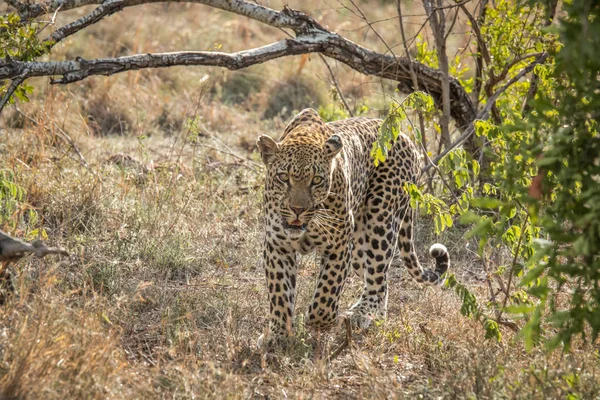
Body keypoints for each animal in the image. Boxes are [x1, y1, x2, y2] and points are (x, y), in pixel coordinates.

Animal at [255, 108, 448, 340]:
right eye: (284, 177)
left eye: (316, 180)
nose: (297, 209)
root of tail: (404, 136)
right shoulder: (277, 245)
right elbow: (280, 293)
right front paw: (278, 335)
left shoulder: (338, 245)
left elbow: (328, 290)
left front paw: (319, 321)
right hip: (358, 248)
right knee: (380, 279)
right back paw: (372, 315)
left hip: (380, 219)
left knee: (378, 277)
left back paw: (361, 314)